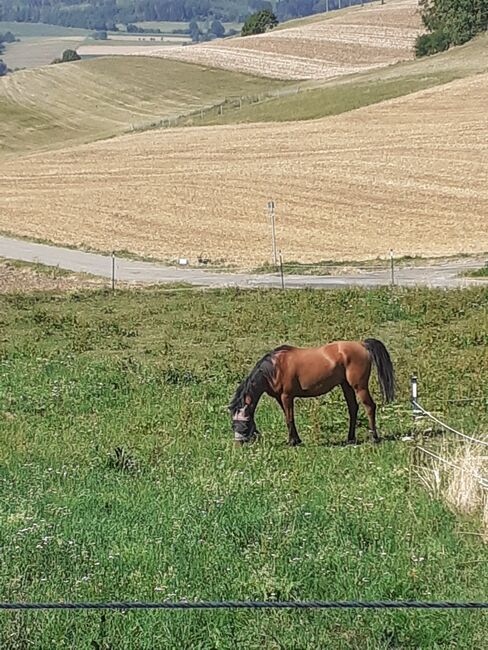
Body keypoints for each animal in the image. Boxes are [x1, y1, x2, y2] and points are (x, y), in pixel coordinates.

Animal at [231, 336, 394, 442]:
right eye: (233, 424)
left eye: (244, 425)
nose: (239, 444)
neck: (274, 368)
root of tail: (361, 344)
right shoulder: (280, 398)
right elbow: (288, 417)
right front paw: (295, 440)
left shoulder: (287, 396)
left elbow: (289, 418)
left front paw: (293, 442)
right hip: (346, 385)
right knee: (353, 408)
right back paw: (350, 438)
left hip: (359, 386)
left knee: (370, 407)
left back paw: (374, 438)